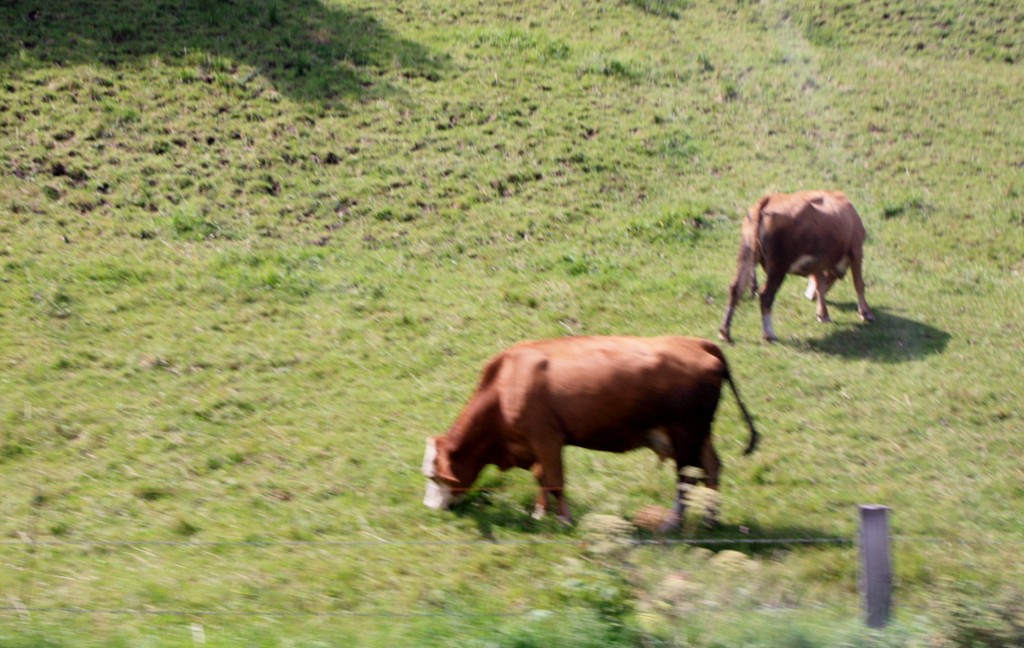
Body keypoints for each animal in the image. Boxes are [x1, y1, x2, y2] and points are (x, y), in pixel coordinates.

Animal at [419, 335, 757, 528]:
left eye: (435, 477)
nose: (430, 508)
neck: (506, 384)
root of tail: (699, 342)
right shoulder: (536, 444)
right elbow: (542, 477)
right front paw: (539, 514)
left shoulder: (547, 439)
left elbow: (555, 481)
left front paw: (564, 520)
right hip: (697, 433)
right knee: (712, 467)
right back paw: (710, 519)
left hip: (685, 431)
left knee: (687, 478)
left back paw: (673, 523)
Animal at [716, 188, 876, 343]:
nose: (809, 296)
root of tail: (767, 200)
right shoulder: (856, 249)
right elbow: (858, 283)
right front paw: (866, 313)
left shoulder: (817, 262)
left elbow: (820, 285)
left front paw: (822, 314)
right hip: (778, 266)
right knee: (766, 295)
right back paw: (769, 335)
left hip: (746, 254)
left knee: (735, 289)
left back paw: (725, 332)